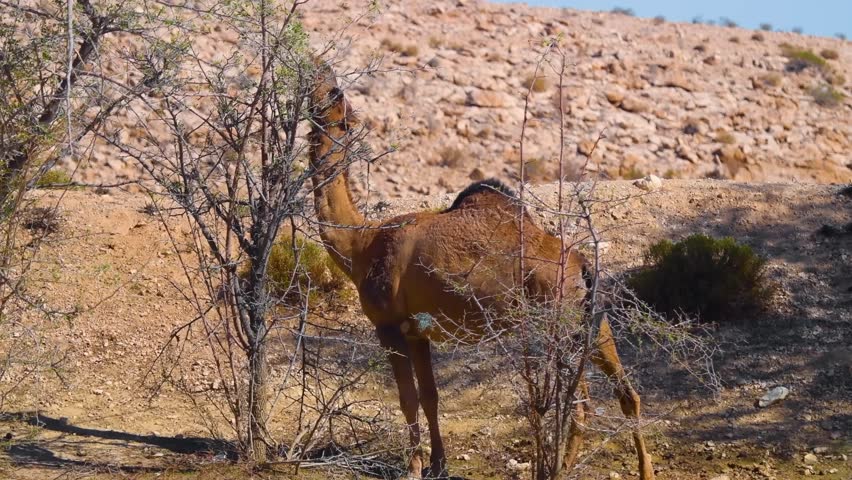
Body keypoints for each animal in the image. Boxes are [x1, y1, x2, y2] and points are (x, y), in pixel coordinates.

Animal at [307, 63, 655, 480]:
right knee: (626, 393)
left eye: (334, 97)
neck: (361, 243)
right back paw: (643, 470)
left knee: (580, 404)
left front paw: (413, 468)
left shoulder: (387, 325)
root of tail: (583, 266)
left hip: (558, 321)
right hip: (592, 319)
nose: (320, 72)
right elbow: (430, 396)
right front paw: (438, 464)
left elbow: (407, 399)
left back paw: (562, 467)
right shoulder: (417, 331)